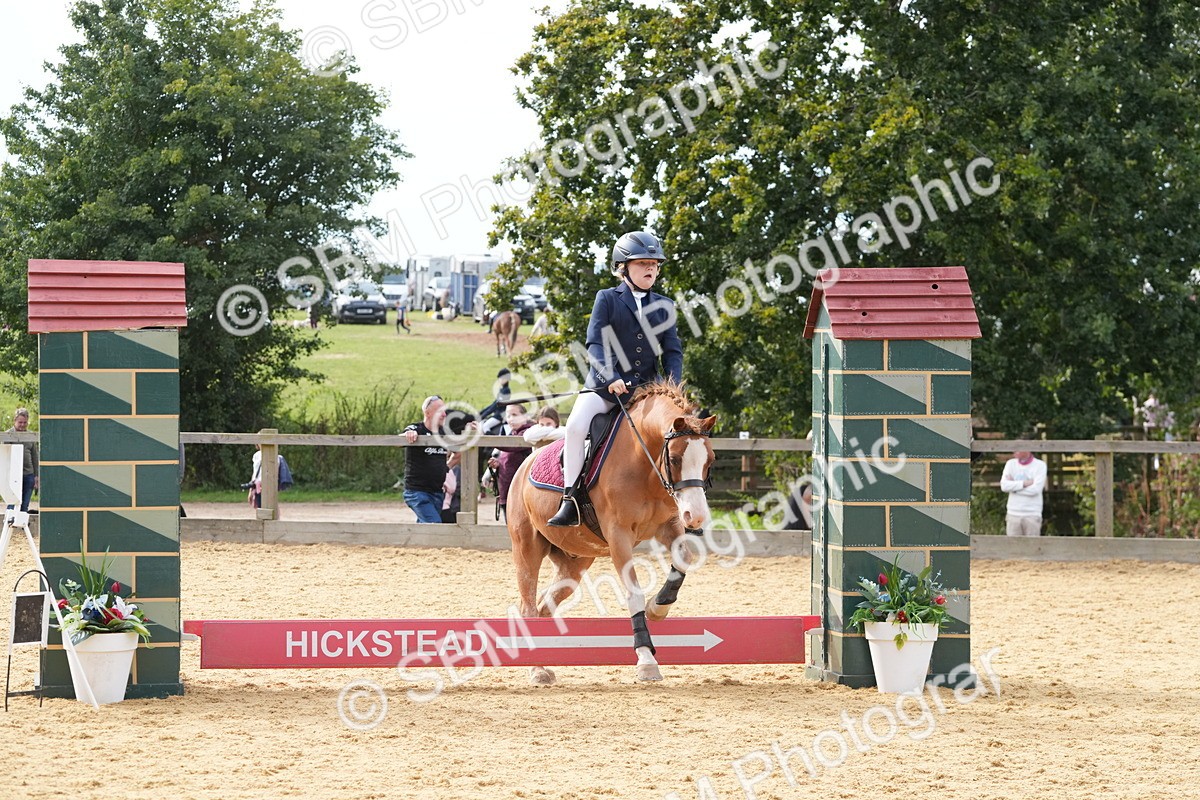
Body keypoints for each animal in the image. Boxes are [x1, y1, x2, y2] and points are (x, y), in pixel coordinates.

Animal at [506, 380, 717, 685]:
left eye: (710, 460)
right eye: (675, 459)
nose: (696, 516)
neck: (643, 461)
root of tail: (524, 465)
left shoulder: (668, 526)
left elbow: (684, 559)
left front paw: (658, 607)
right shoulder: (619, 535)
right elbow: (633, 594)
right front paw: (646, 659)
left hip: (576, 562)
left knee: (546, 603)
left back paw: (544, 663)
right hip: (526, 550)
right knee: (528, 605)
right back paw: (536, 670)